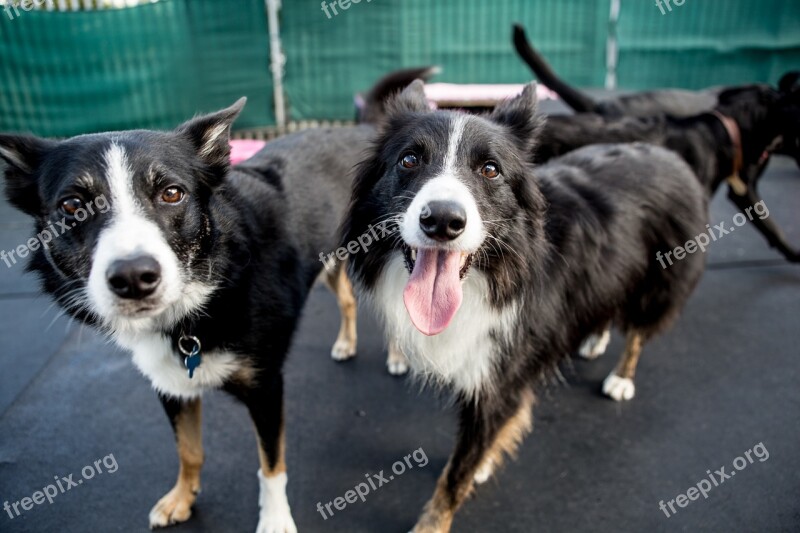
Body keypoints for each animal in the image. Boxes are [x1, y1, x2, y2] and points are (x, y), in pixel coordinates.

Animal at [342, 81, 708, 528]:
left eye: (490, 169)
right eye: (409, 160)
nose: (442, 221)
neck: (493, 274)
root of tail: (666, 153)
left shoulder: (502, 374)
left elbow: (456, 472)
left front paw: (433, 522)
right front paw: (485, 460)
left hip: (661, 279)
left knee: (639, 330)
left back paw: (622, 377)